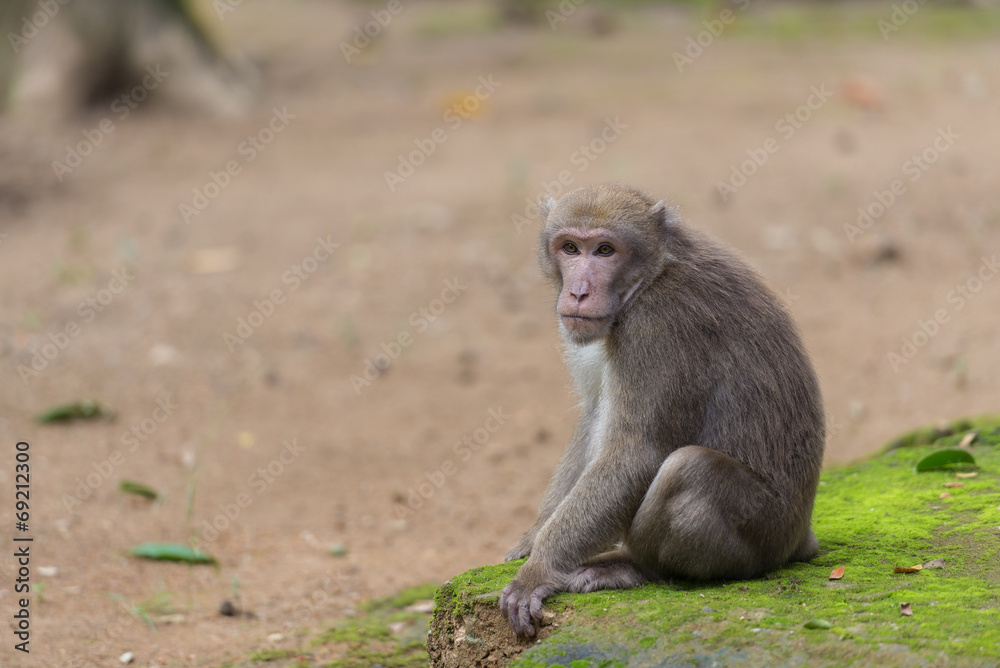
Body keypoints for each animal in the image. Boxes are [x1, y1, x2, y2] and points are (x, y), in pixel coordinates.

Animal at [498, 183, 820, 636]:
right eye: (570, 248)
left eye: (604, 250)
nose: (578, 292)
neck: (651, 276)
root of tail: (801, 537)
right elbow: (594, 413)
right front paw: (534, 535)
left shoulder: (658, 326)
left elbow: (637, 453)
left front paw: (539, 569)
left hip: (768, 531)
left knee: (689, 469)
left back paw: (637, 567)